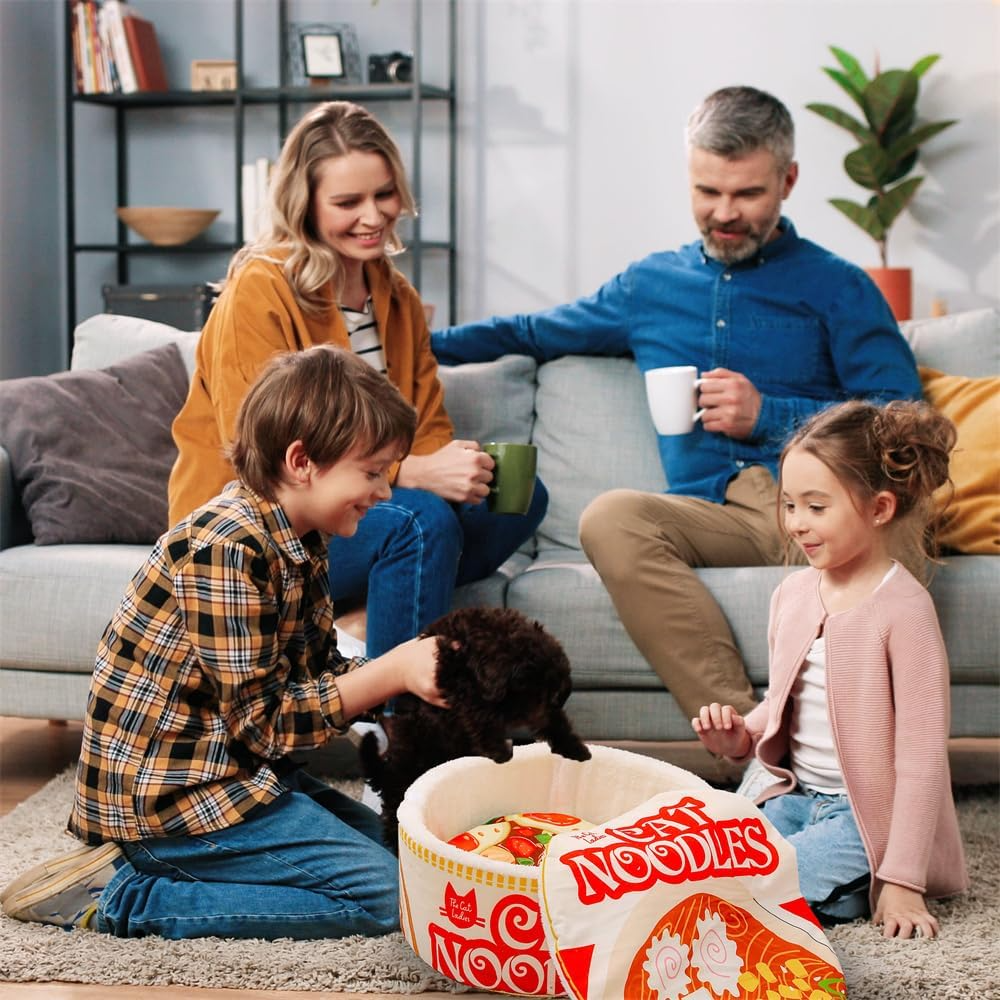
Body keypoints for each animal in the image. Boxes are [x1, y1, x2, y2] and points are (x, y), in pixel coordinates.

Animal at [364, 604, 588, 848]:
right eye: (531, 689)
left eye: (553, 690)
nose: (558, 700)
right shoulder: (452, 673)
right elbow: (478, 707)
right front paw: (499, 751)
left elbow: (557, 723)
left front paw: (576, 749)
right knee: (392, 809)